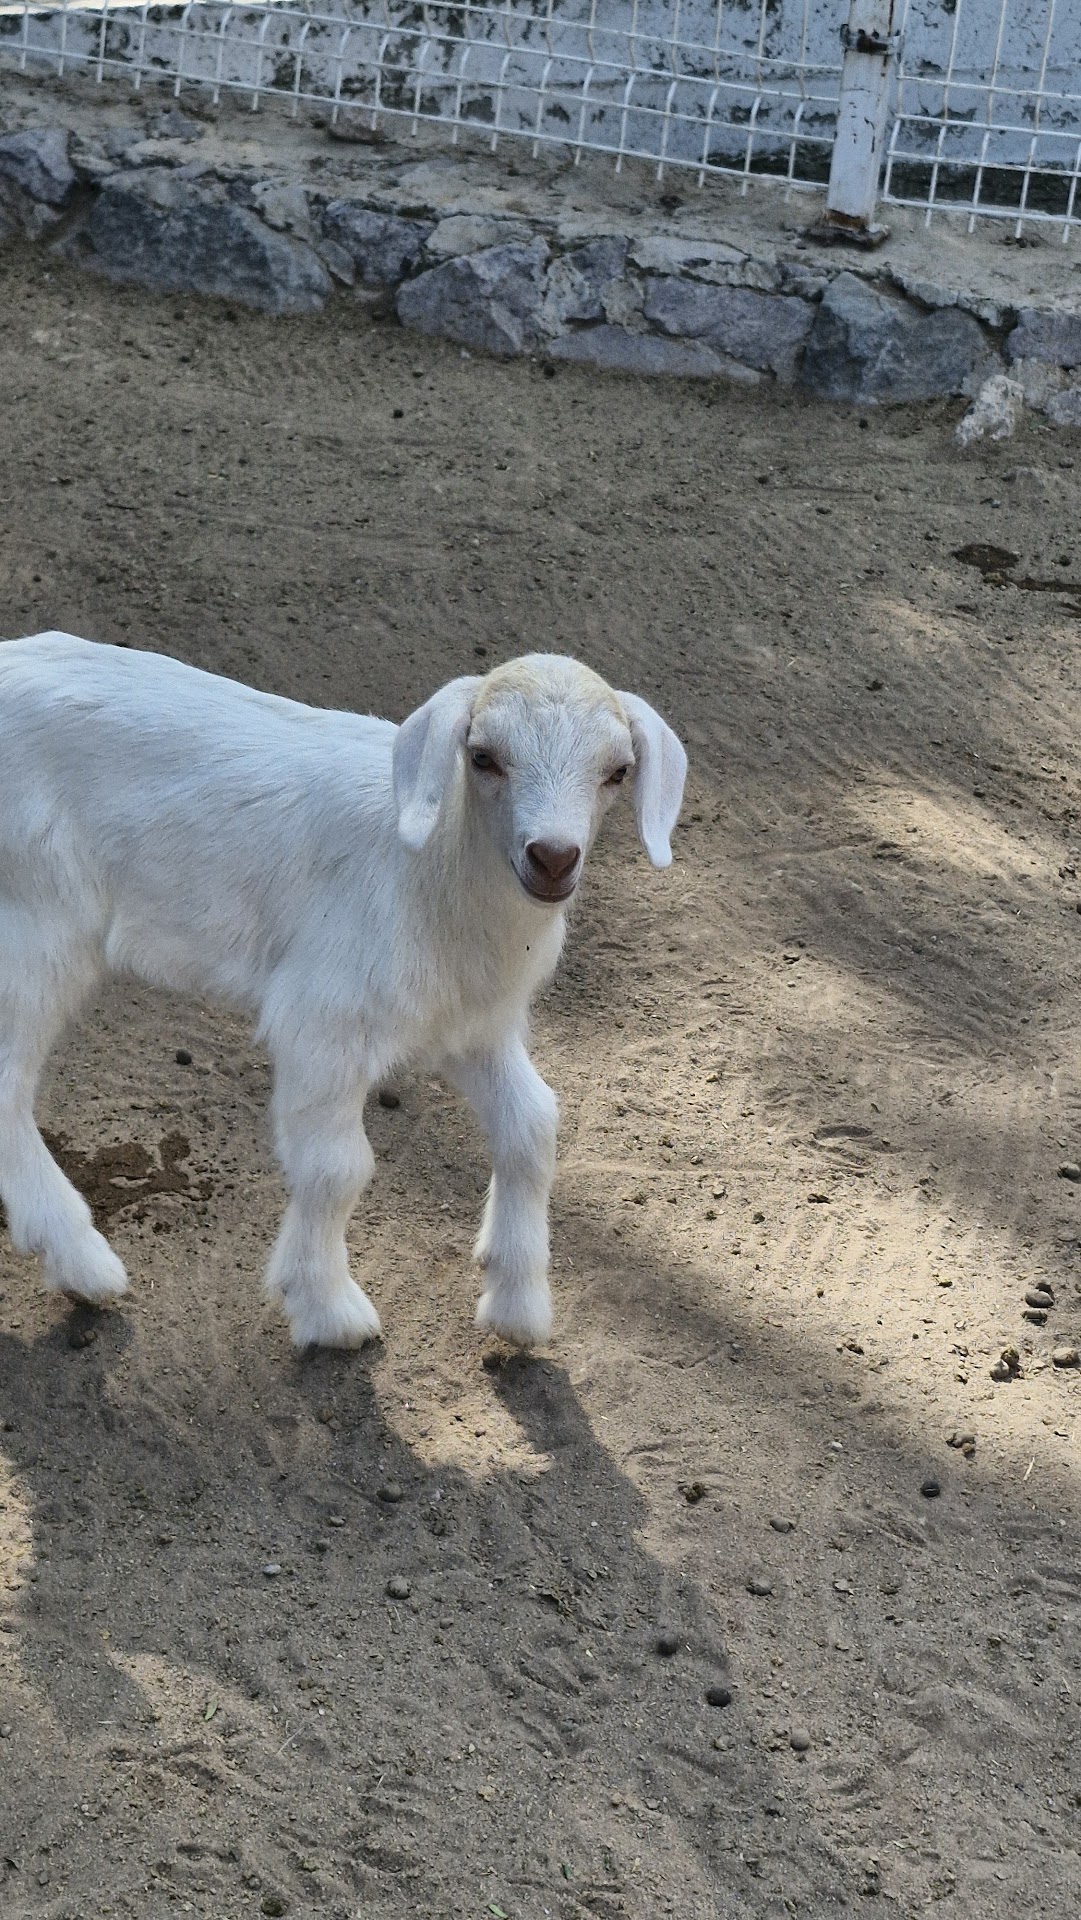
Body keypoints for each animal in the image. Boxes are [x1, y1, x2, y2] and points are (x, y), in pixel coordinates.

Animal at [0, 633, 687, 1349]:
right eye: (483, 757)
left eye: (618, 770)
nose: (552, 858)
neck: (433, 870)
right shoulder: (325, 1020)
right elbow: (337, 1168)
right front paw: (327, 1308)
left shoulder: (472, 1024)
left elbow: (532, 1125)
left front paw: (518, 1304)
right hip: (32, 922)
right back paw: (79, 1258)